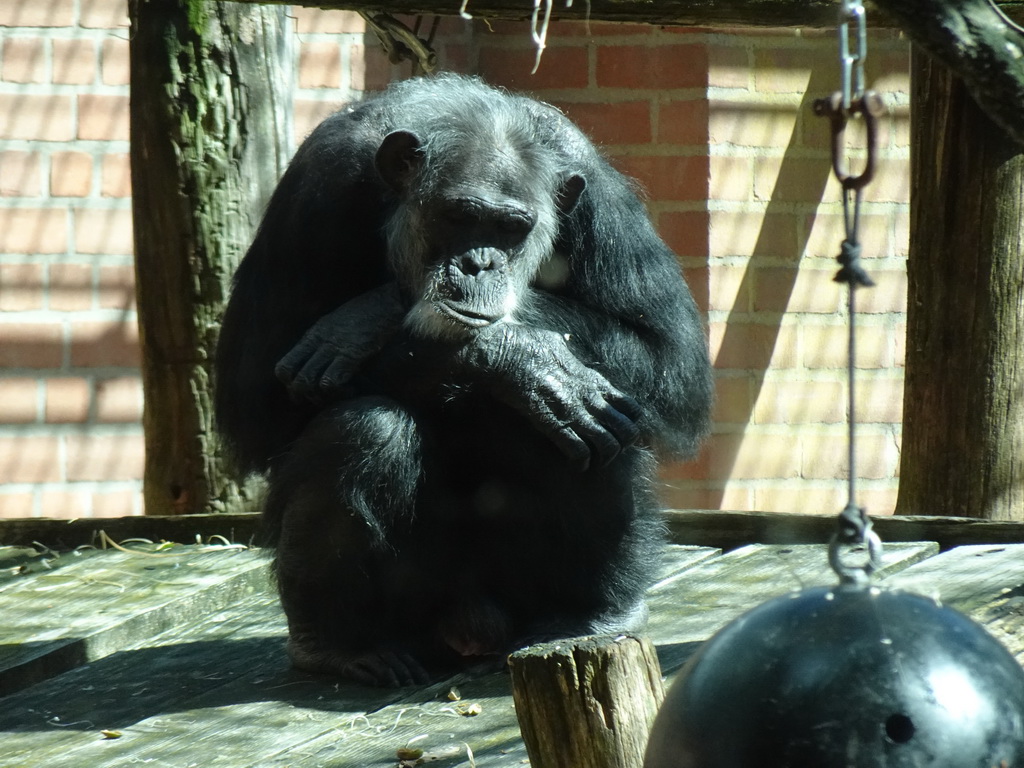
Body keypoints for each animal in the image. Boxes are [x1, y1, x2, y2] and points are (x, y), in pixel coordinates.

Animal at [216, 73, 712, 684]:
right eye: (460, 217)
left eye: (510, 228)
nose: (481, 263)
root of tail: (471, 629)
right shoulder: (314, 192)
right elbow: (253, 389)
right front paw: (516, 358)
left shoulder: (599, 194)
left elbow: (671, 359)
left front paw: (380, 316)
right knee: (365, 430)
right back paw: (338, 644)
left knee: (578, 421)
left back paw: (590, 615)